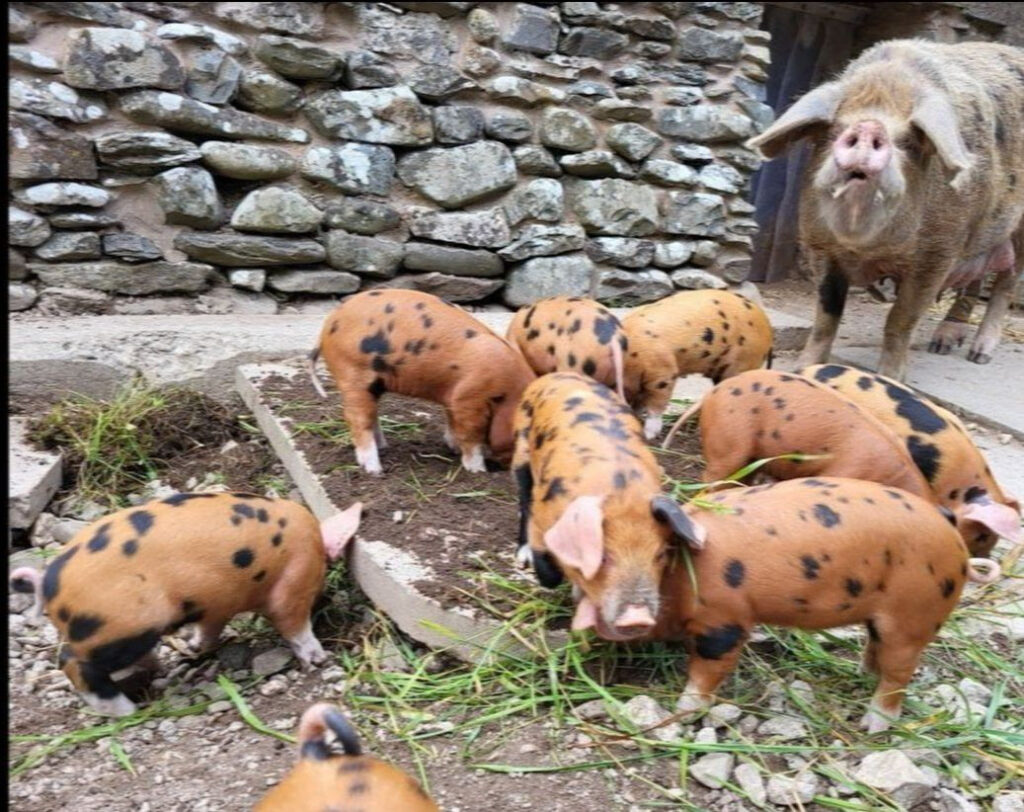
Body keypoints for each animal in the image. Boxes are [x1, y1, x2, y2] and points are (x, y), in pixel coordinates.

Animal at [9, 493, 362, 717]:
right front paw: (319, 659)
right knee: (72, 662)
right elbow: (294, 623)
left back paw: (154, 669)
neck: (315, 542)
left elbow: (209, 629)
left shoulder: (216, 604)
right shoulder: (292, 584)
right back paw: (127, 710)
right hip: (120, 626)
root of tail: (47, 582)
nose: (327, 599)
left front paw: (194, 649)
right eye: (321, 581)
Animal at [308, 289, 536, 474]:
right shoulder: (469, 400)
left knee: (371, 416)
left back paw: (384, 446)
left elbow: (453, 424)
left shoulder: (454, 397)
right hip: (353, 374)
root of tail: (326, 327)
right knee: (357, 419)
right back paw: (375, 470)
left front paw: (453, 447)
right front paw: (478, 471)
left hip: (374, 383)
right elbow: (470, 436)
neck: (509, 390)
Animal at [512, 372, 706, 639]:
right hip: (521, 448)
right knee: (522, 497)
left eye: (660, 554)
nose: (638, 617)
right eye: (603, 557)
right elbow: (548, 570)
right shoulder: (542, 515)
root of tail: (557, 375)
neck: (621, 493)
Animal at [572, 478, 1000, 732]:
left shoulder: (726, 622)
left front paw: (681, 711)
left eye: (660, 555)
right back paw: (859, 673)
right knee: (875, 646)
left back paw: (872, 725)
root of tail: (951, 532)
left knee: (899, 674)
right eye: (598, 559)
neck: (684, 576)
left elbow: (707, 673)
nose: (632, 618)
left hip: (914, 615)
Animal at [748, 40, 1024, 380]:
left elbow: (900, 318)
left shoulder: (937, 254)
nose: (869, 126)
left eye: (908, 141)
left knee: (1006, 284)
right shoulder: (819, 244)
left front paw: (891, 379)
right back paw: (942, 344)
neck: (864, 249)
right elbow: (826, 313)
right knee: (976, 278)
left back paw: (979, 356)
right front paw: (803, 370)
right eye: (836, 129)